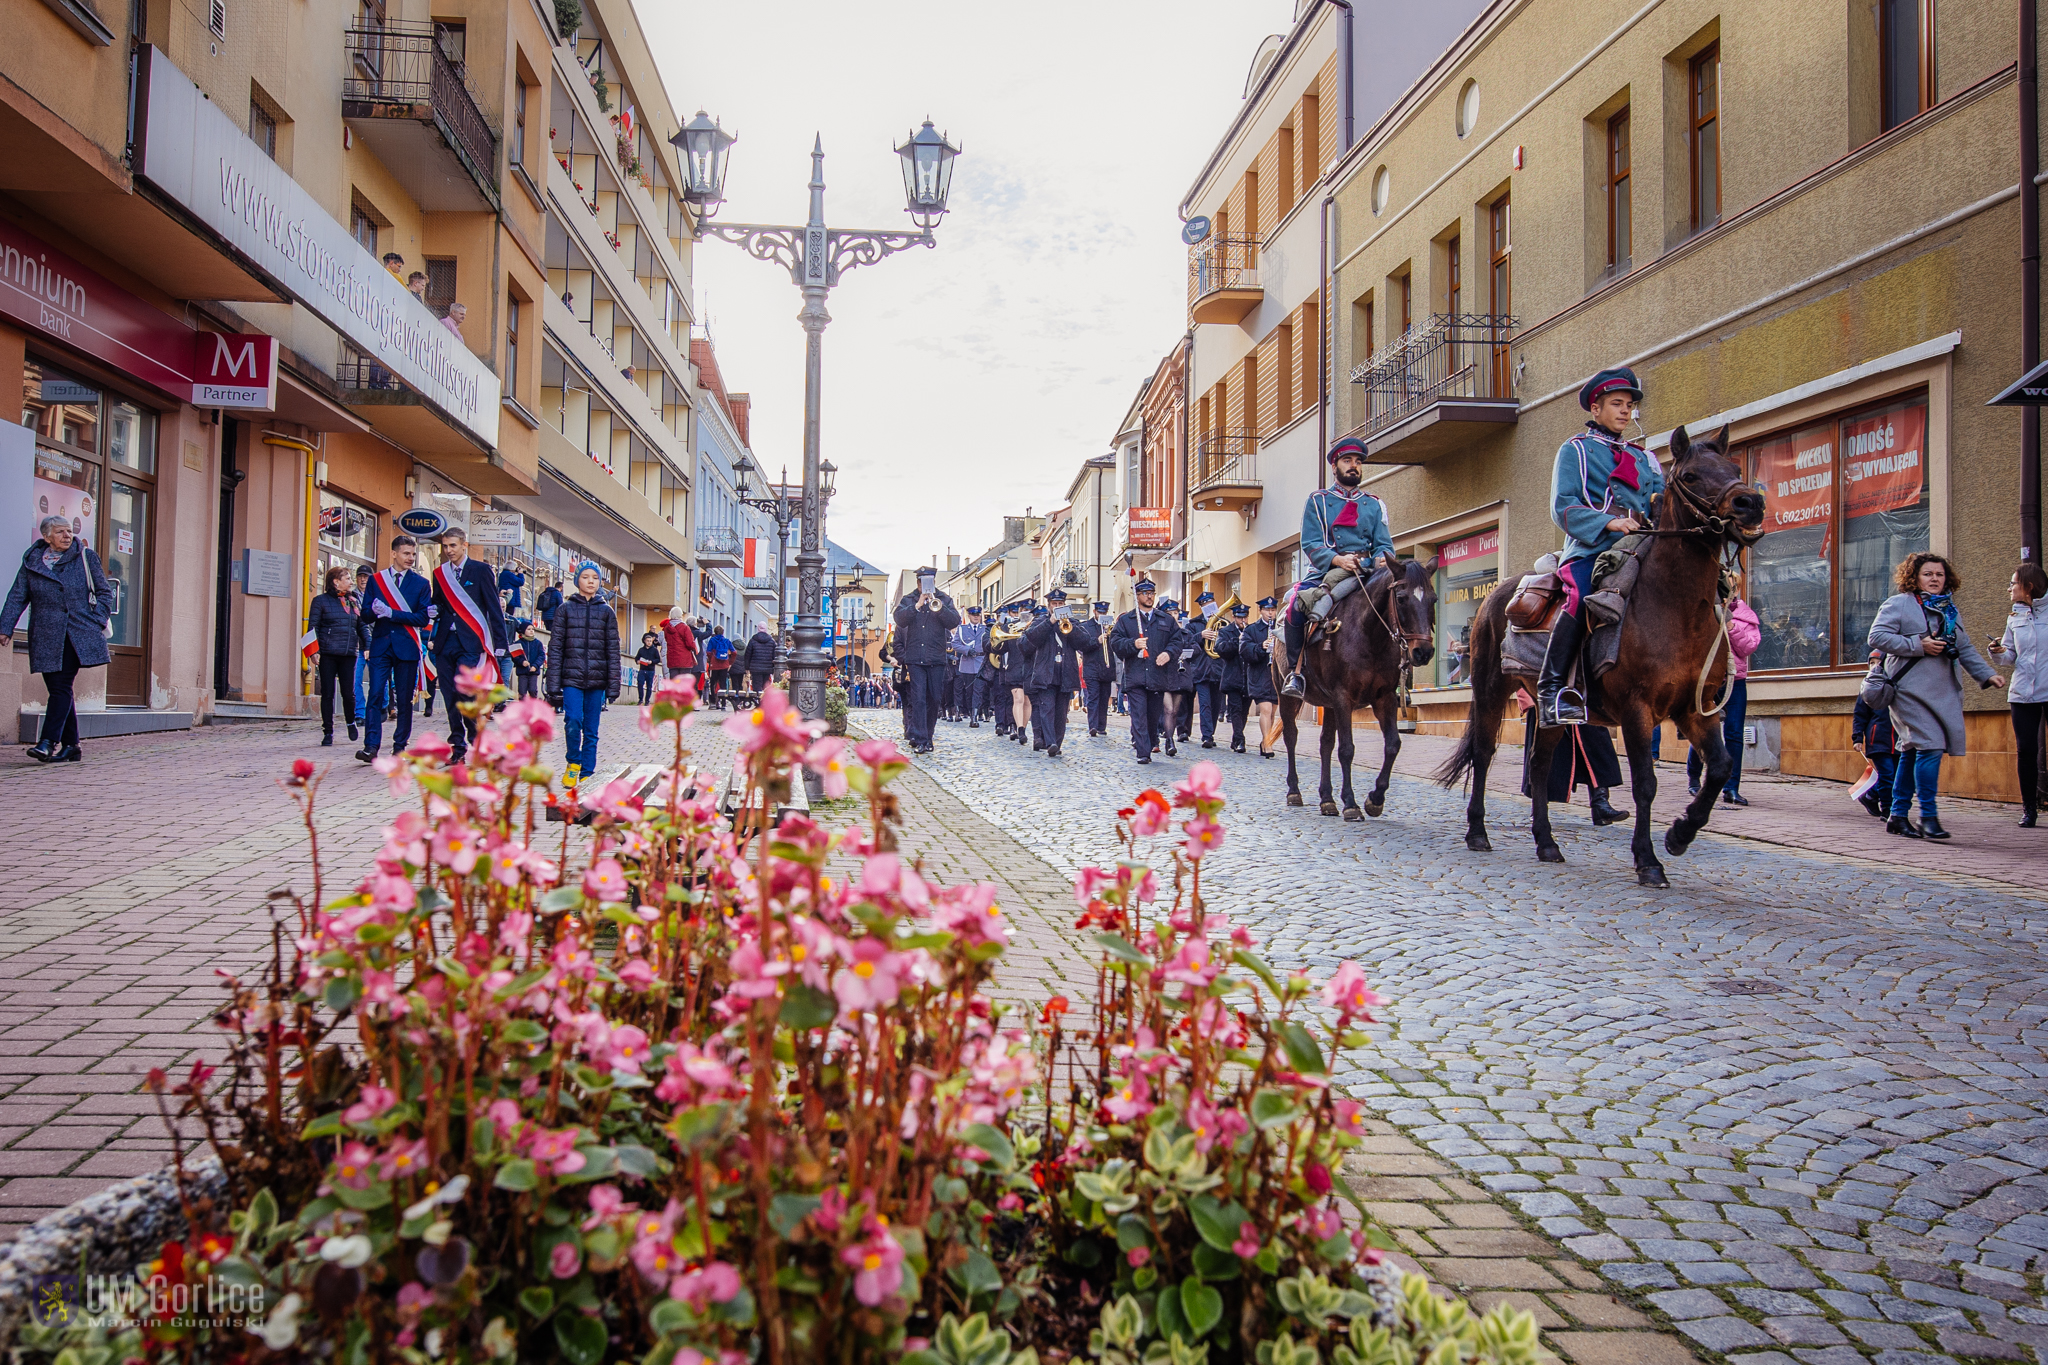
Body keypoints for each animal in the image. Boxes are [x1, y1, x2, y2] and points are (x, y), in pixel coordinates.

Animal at [1269, 556, 1433, 818]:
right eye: (1401, 598)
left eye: (1433, 598)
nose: (1423, 652)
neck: (1370, 634)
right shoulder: (1343, 697)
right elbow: (1346, 749)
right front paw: (1351, 803)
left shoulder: (1384, 698)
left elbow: (1393, 745)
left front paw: (1375, 799)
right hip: (1286, 695)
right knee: (1291, 736)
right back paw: (1294, 792)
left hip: (1328, 704)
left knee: (1325, 743)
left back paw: (1327, 799)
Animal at [1441, 429, 1761, 896]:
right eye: (1690, 475)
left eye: (1735, 468)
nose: (1749, 503)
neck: (1674, 605)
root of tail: (1496, 595)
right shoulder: (1636, 710)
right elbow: (1645, 784)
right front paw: (1648, 860)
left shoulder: (1695, 709)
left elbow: (1719, 768)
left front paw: (1680, 834)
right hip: (1489, 690)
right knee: (1483, 754)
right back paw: (1478, 832)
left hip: (1550, 711)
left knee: (1539, 764)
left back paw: (1546, 842)